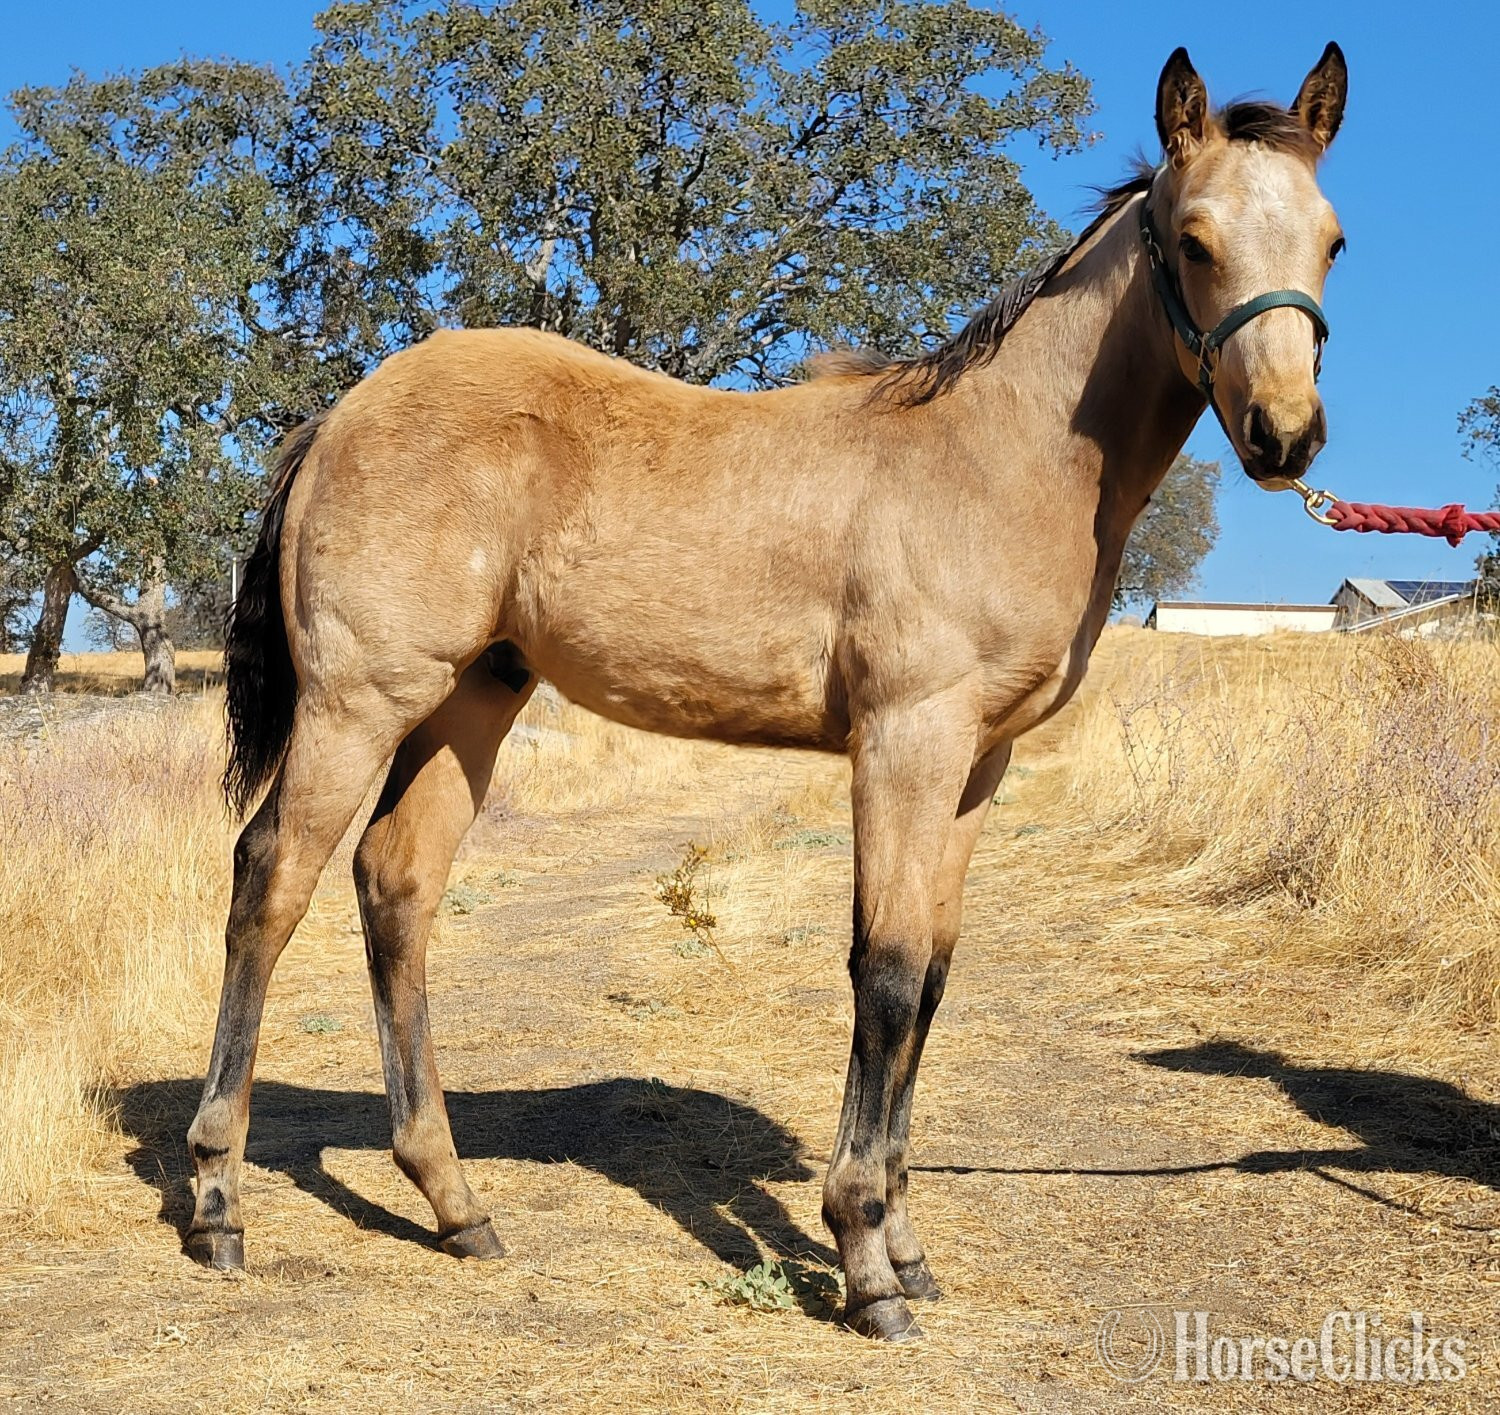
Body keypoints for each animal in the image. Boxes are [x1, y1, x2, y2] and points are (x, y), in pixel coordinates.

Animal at [185, 44, 1348, 1341]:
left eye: (1331, 240)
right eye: (1193, 239)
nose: (1286, 437)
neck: (994, 456)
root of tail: (340, 413)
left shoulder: (977, 764)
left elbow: (933, 975)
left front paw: (907, 1243)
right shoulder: (905, 740)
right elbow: (885, 972)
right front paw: (866, 1264)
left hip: (473, 699)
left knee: (397, 884)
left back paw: (456, 1204)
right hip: (359, 700)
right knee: (271, 879)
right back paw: (220, 1201)